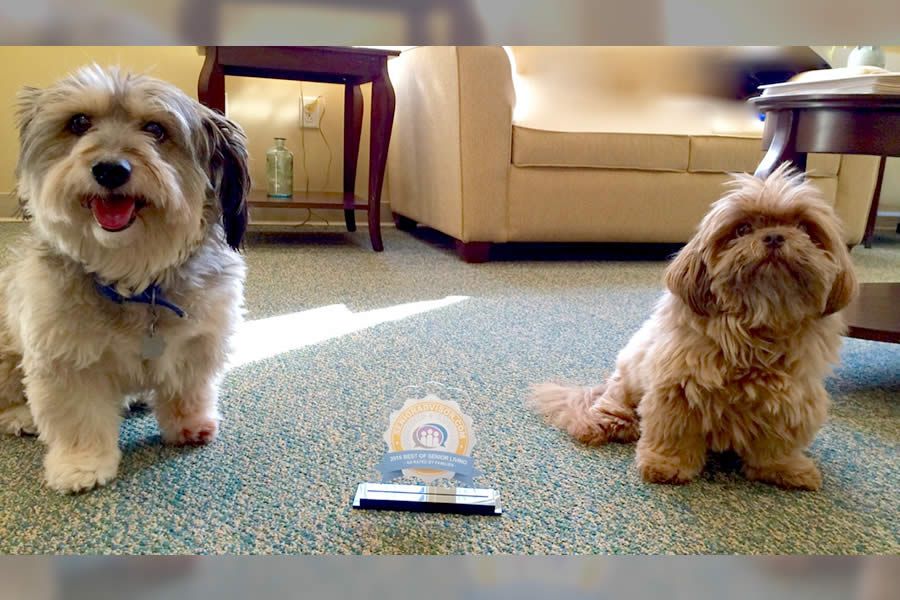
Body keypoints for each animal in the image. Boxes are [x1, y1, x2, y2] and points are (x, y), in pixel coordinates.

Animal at [0, 65, 250, 492]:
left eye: (156, 129)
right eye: (79, 123)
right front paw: (81, 464)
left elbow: (189, 389)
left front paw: (189, 425)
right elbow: (78, 416)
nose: (111, 169)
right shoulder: (64, 358)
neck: (134, 279)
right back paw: (20, 416)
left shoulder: (198, 342)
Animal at [536, 163, 856, 488]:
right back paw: (605, 422)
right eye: (742, 229)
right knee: (611, 402)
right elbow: (674, 433)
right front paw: (666, 465)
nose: (775, 237)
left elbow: (777, 443)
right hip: (628, 376)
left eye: (804, 228)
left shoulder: (792, 399)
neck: (756, 328)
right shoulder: (678, 389)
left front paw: (786, 468)